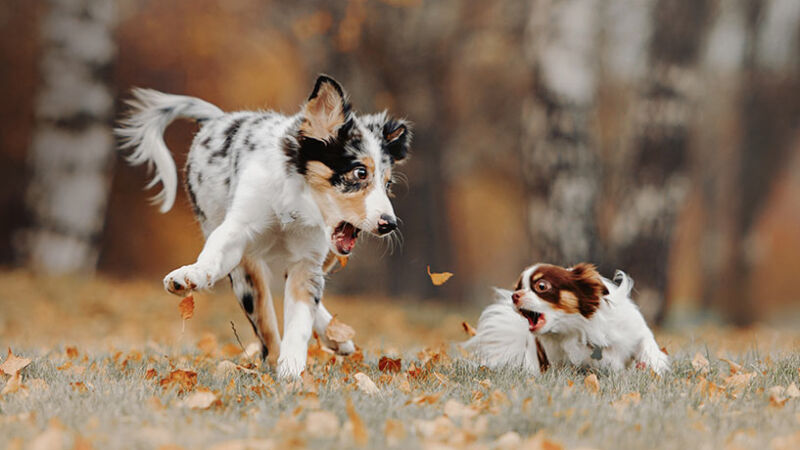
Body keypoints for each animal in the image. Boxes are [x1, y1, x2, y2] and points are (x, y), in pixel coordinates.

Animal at [117, 75, 412, 378]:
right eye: (360, 173)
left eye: (388, 184)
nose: (390, 224)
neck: (295, 207)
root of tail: (218, 117)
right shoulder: (238, 230)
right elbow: (220, 261)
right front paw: (189, 276)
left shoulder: (308, 261)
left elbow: (300, 317)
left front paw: (291, 370)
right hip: (240, 259)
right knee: (260, 309)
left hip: (325, 255)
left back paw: (336, 339)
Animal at [462, 264, 668, 372]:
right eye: (518, 287)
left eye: (542, 286)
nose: (515, 295)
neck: (581, 330)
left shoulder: (635, 331)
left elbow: (648, 345)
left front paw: (654, 366)